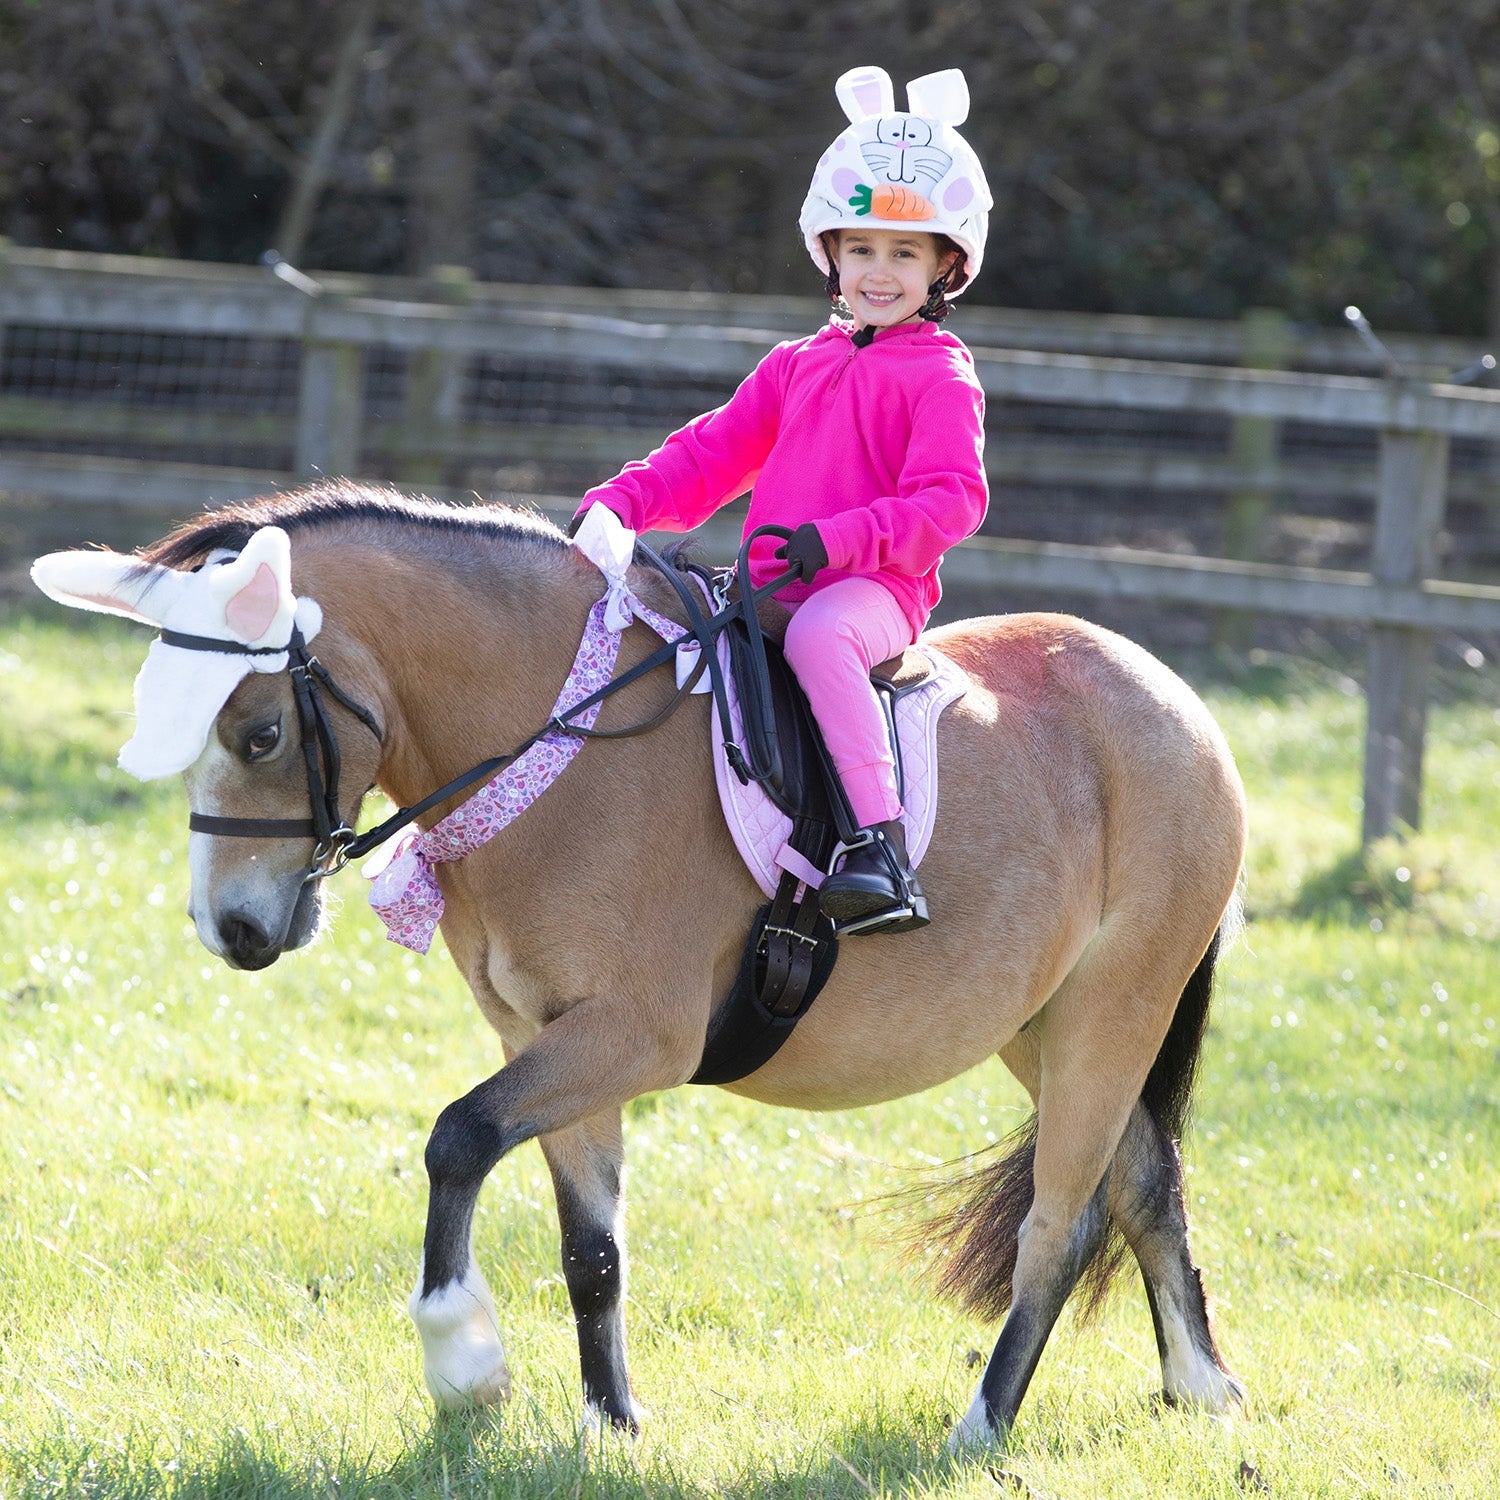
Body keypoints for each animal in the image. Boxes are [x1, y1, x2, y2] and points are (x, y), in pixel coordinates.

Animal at [34, 480, 1248, 1448]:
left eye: (259, 735)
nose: (232, 930)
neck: (560, 752)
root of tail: (1177, 701)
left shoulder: (635, 1037)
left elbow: (457, 1138)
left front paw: (464, 1361)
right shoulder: (547, 1036)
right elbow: (592, 1248)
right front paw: (611, 1421)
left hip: (1113, 1008)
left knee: (1061, 1220)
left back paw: (983, 1425)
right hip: (1042, 1024)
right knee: (1143, 1180)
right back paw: (1202, 1387)